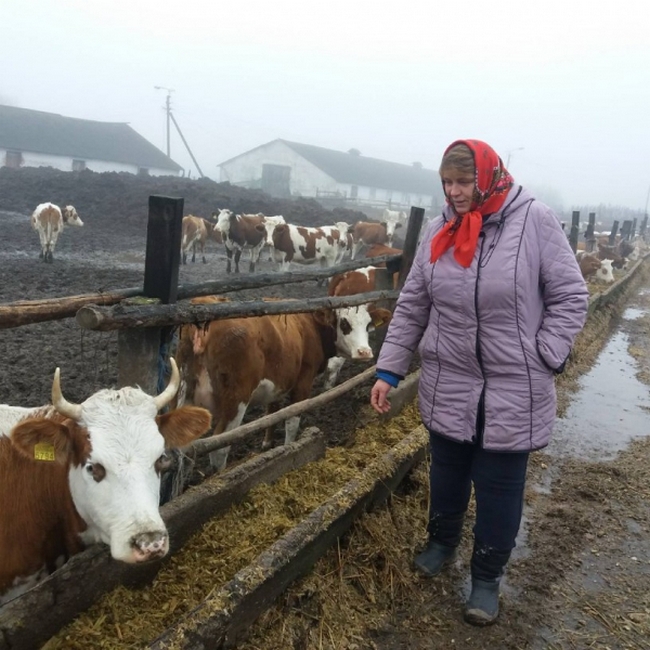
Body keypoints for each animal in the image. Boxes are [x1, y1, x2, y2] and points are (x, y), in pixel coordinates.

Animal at [174, 296, 392, 471]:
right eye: (344, 324)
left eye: (368, 325)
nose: (365, 352)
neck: (309, 325)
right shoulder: (303, 381)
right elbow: (292, 420)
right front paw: (290, 449)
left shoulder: (277, 382)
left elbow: (272, 412)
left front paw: (267, 444)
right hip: (235, 400)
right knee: (219, 448)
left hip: (185, 396)